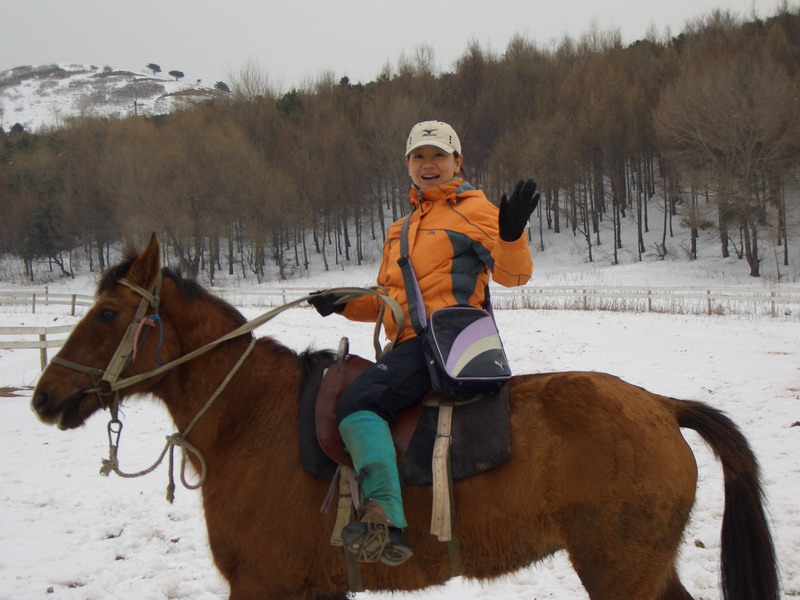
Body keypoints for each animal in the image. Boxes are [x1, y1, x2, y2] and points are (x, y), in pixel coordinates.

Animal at [29, 236, 776, 600]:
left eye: (107, 315)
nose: (43, 397)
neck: (253, 419)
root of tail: (661, 406)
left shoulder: (261, 585)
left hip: (623, 573)